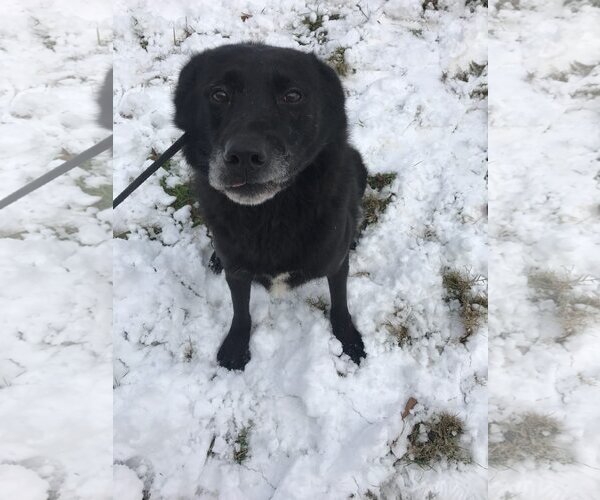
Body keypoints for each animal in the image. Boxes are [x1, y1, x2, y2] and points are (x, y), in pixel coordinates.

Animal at [175, 43, 366, 370]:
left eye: (292, 96)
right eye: (219, 94)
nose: (243, 156)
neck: (269, 216)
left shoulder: (336, 265)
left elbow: (339, 303)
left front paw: (348, 339)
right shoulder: (237, 272)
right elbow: (241, 311)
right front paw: (236, 346)